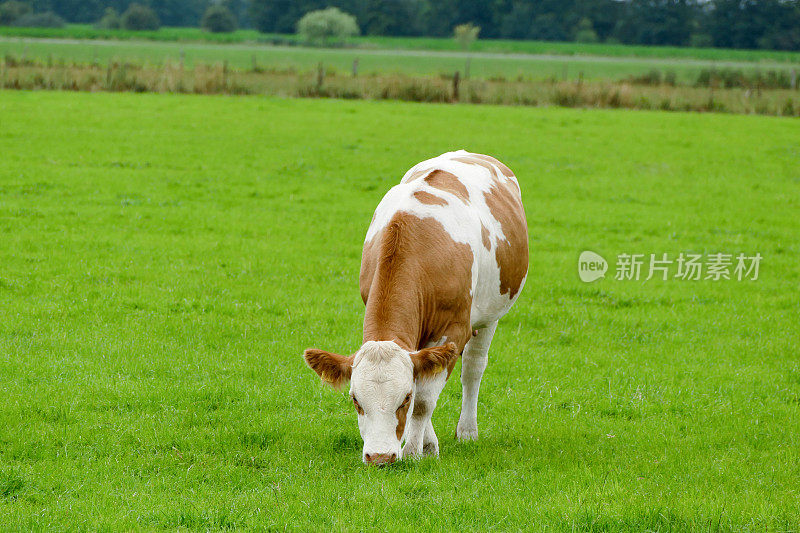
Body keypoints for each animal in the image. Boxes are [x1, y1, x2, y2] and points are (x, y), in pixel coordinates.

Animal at [304, 149, 528, 462]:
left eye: (404, 398)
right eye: (355, 399)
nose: (380, 457)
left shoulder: (454, 330)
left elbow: (424, 400)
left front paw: (412, 451)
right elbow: (423, 374)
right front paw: (428, 445)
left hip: (490, 315)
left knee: (473, 368)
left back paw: (467, 431)